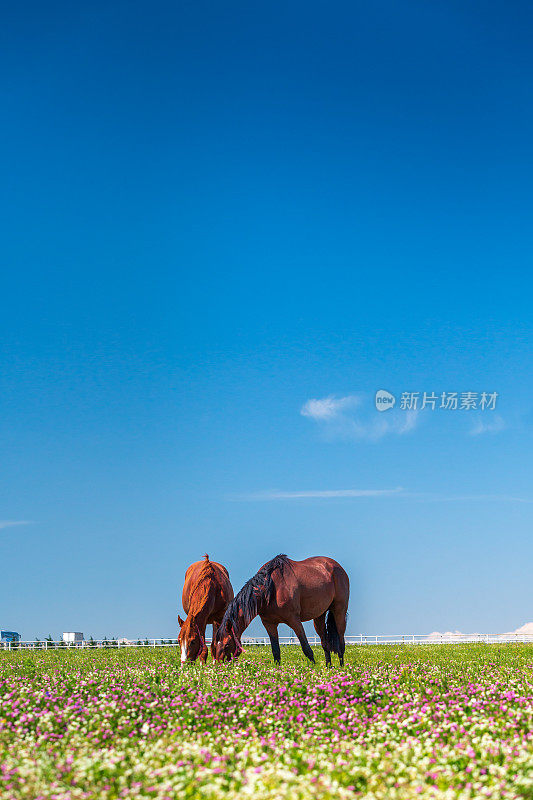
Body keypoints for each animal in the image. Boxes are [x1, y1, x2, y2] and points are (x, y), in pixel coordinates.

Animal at [212, 552, 350, 664]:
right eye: (216, 644)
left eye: (226, 645)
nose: (219, 665)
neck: (271, 589)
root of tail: (336, 566)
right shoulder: (269, 624)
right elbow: (276, 652)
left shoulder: (294, 621)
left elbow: (306, 649)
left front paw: (313, 671)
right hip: (319, 616)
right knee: (325, 643)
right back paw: (328, 667)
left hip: (339, 611)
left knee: (341, 642)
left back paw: (341, 668)